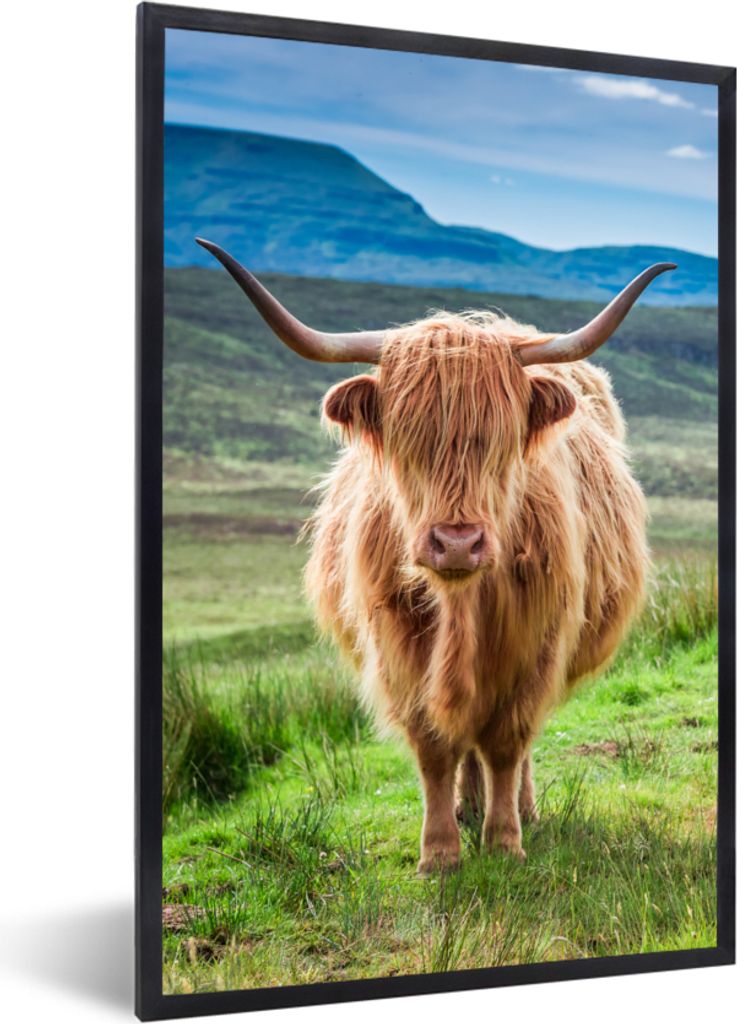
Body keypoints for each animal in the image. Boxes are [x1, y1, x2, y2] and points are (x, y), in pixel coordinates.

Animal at [196, 236, 673, 875]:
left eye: (501, 440)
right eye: (407, 439)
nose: (457, 543)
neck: (461, 606)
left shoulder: (536, 643)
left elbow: (507, 741)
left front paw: (505, 841)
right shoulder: (397, 646)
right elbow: (433, 746)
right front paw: (441, 852)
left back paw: (521, 810)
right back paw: (468, 807)